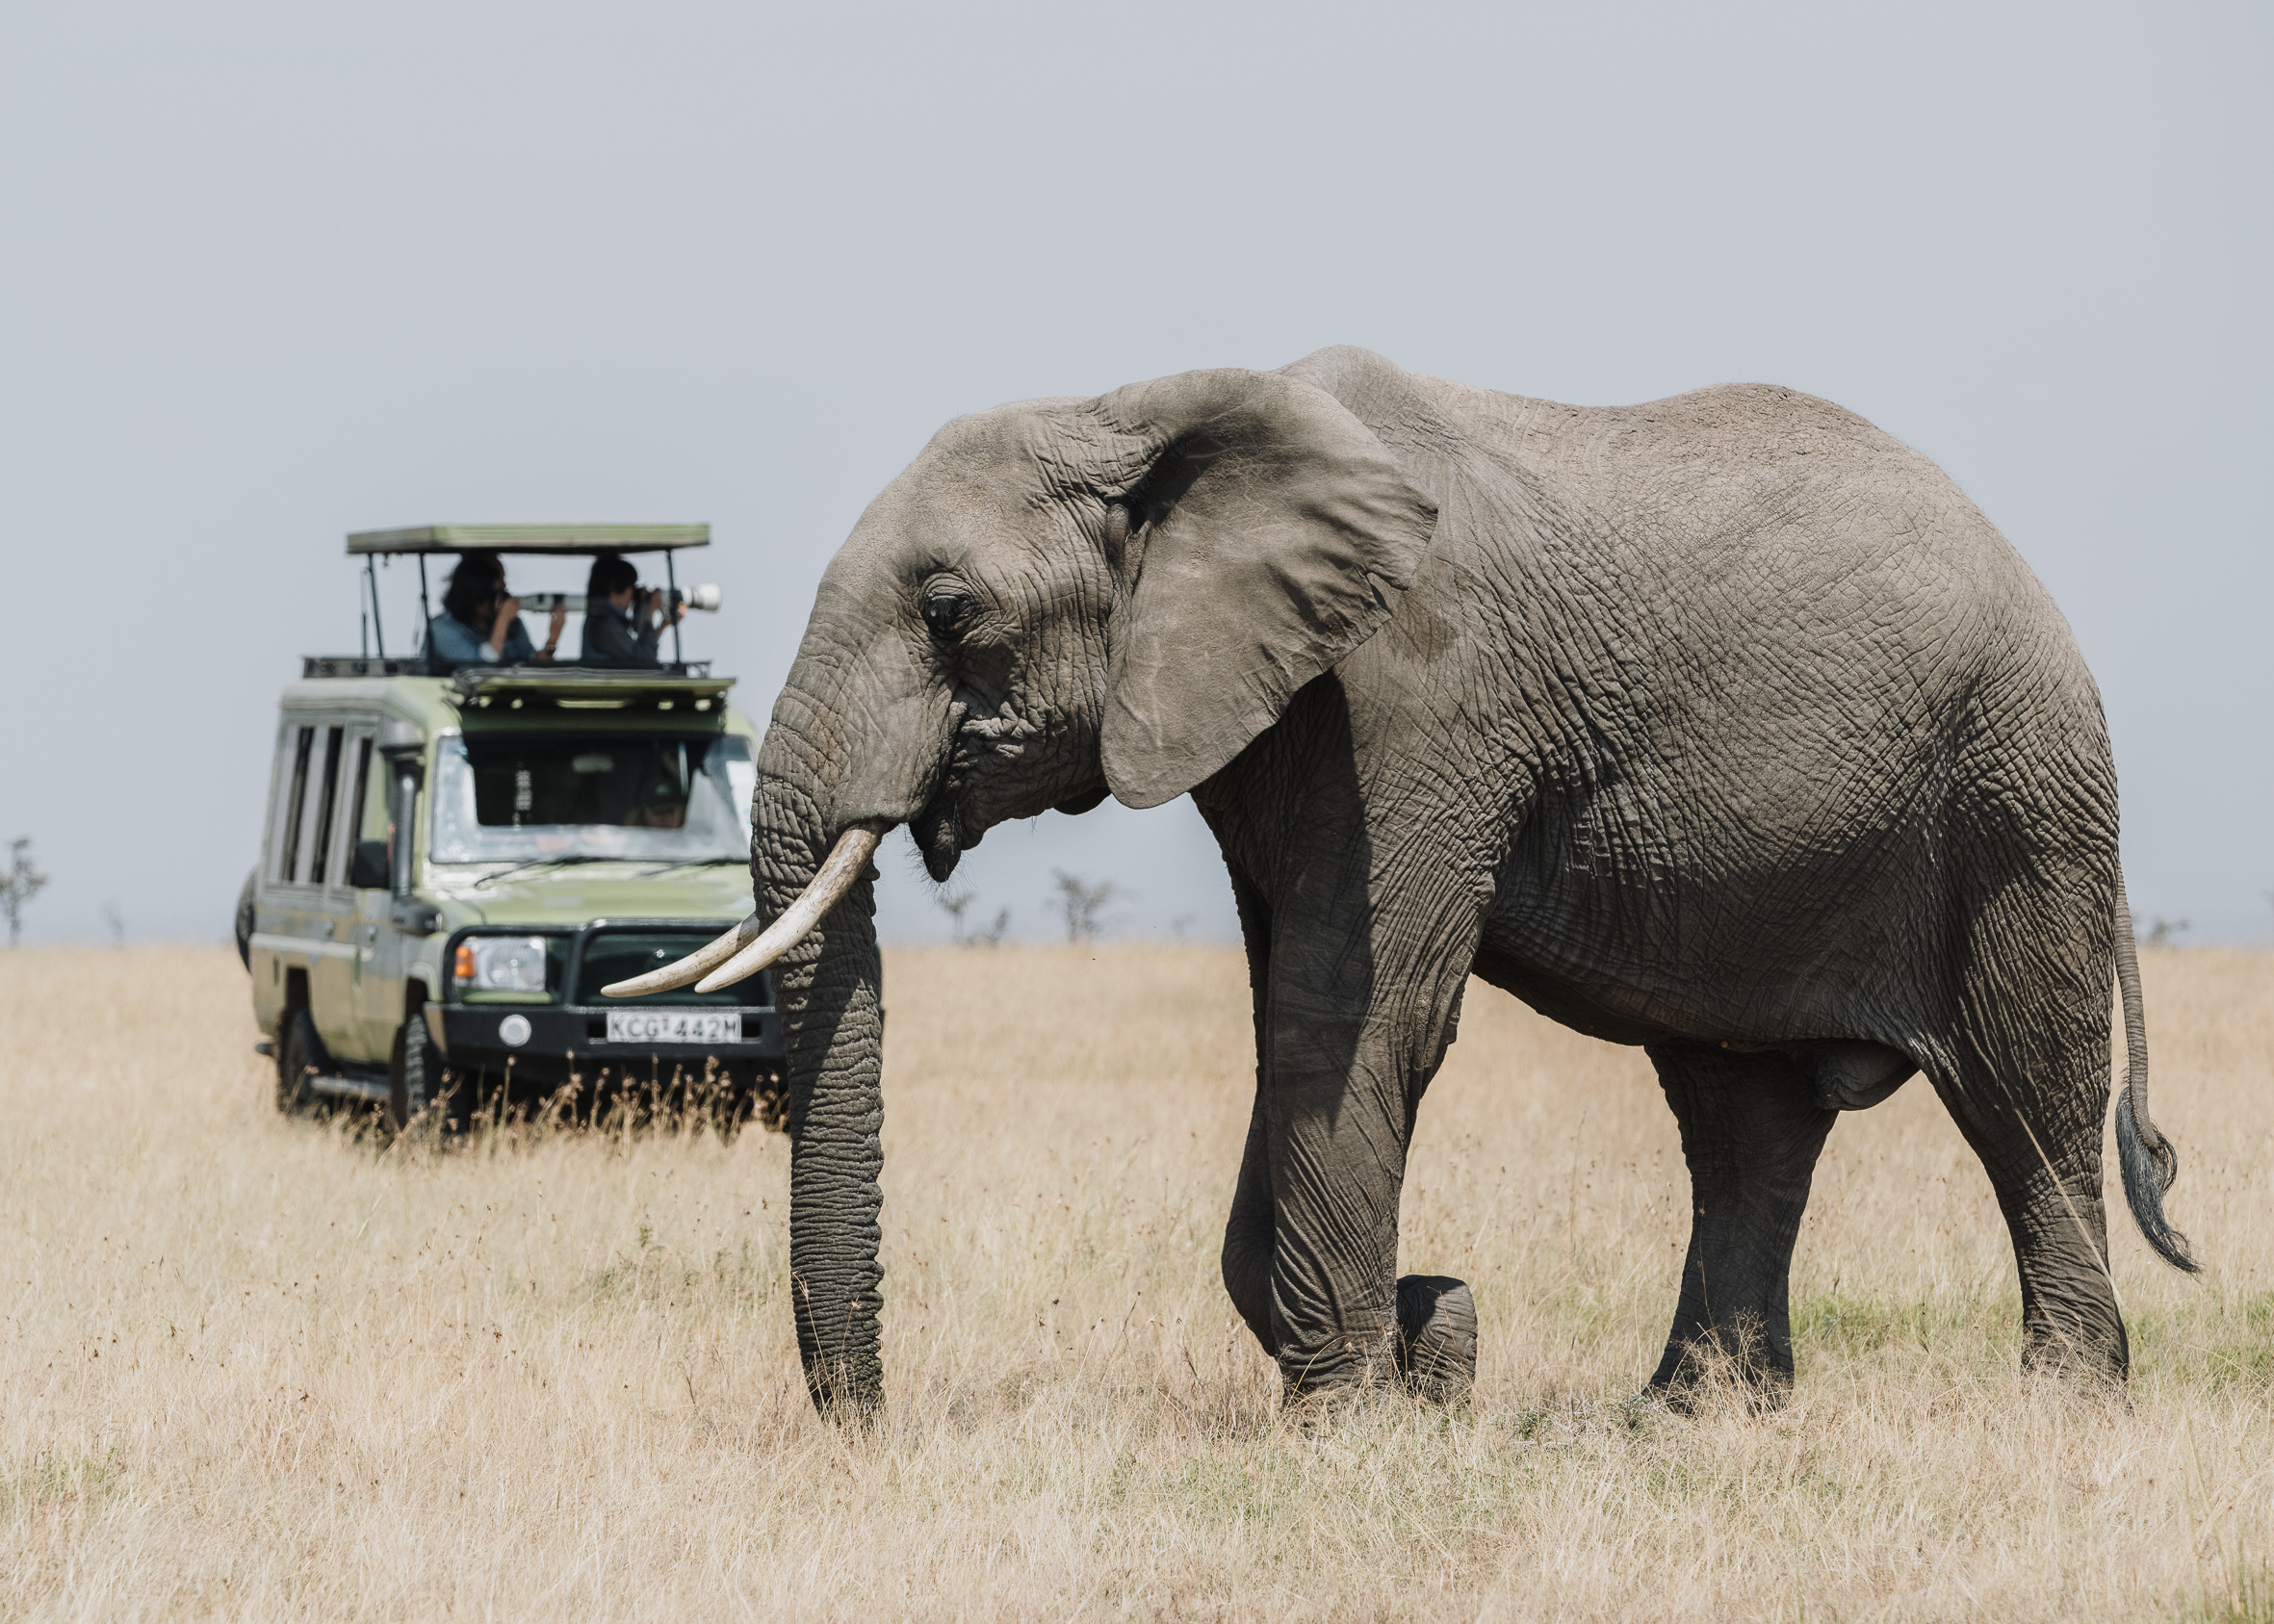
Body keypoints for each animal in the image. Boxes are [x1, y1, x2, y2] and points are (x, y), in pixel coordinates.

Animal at [616, 345, 2194, 1420]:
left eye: (949, 611)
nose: (870, 1428)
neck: (1148, 410)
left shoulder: (1414, 700)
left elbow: (1349, 1014)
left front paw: (1367, 1399)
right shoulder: (1267, 716)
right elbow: (1289, 1025)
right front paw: (1426, 1345)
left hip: (2018, 799)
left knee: (2021, 1091)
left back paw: (2062, 1406)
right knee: (1739, 1115)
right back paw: (1684, 1418)